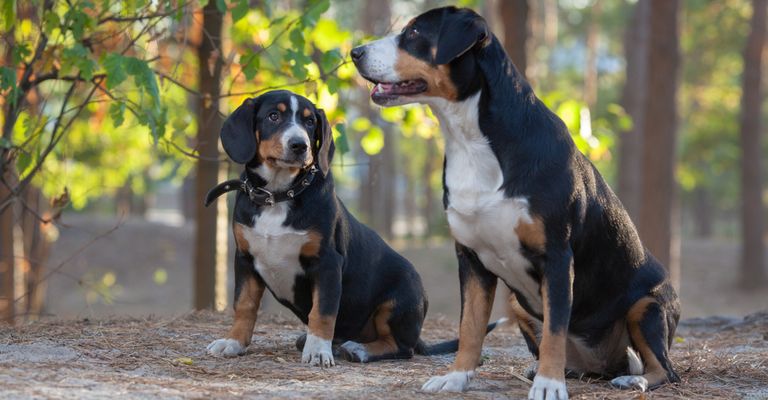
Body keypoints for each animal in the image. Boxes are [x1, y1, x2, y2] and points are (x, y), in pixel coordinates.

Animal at [352, 6, 680, 400]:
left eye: (414, 32)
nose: (355, 52)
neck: (471, 142)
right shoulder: (471, 259)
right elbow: (470, 327)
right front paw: (456, 377)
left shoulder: (557, 257)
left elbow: (554, 330)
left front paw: (549, 385)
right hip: (517, 304)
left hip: (647, 307)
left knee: (665, 369)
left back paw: (633, 379)